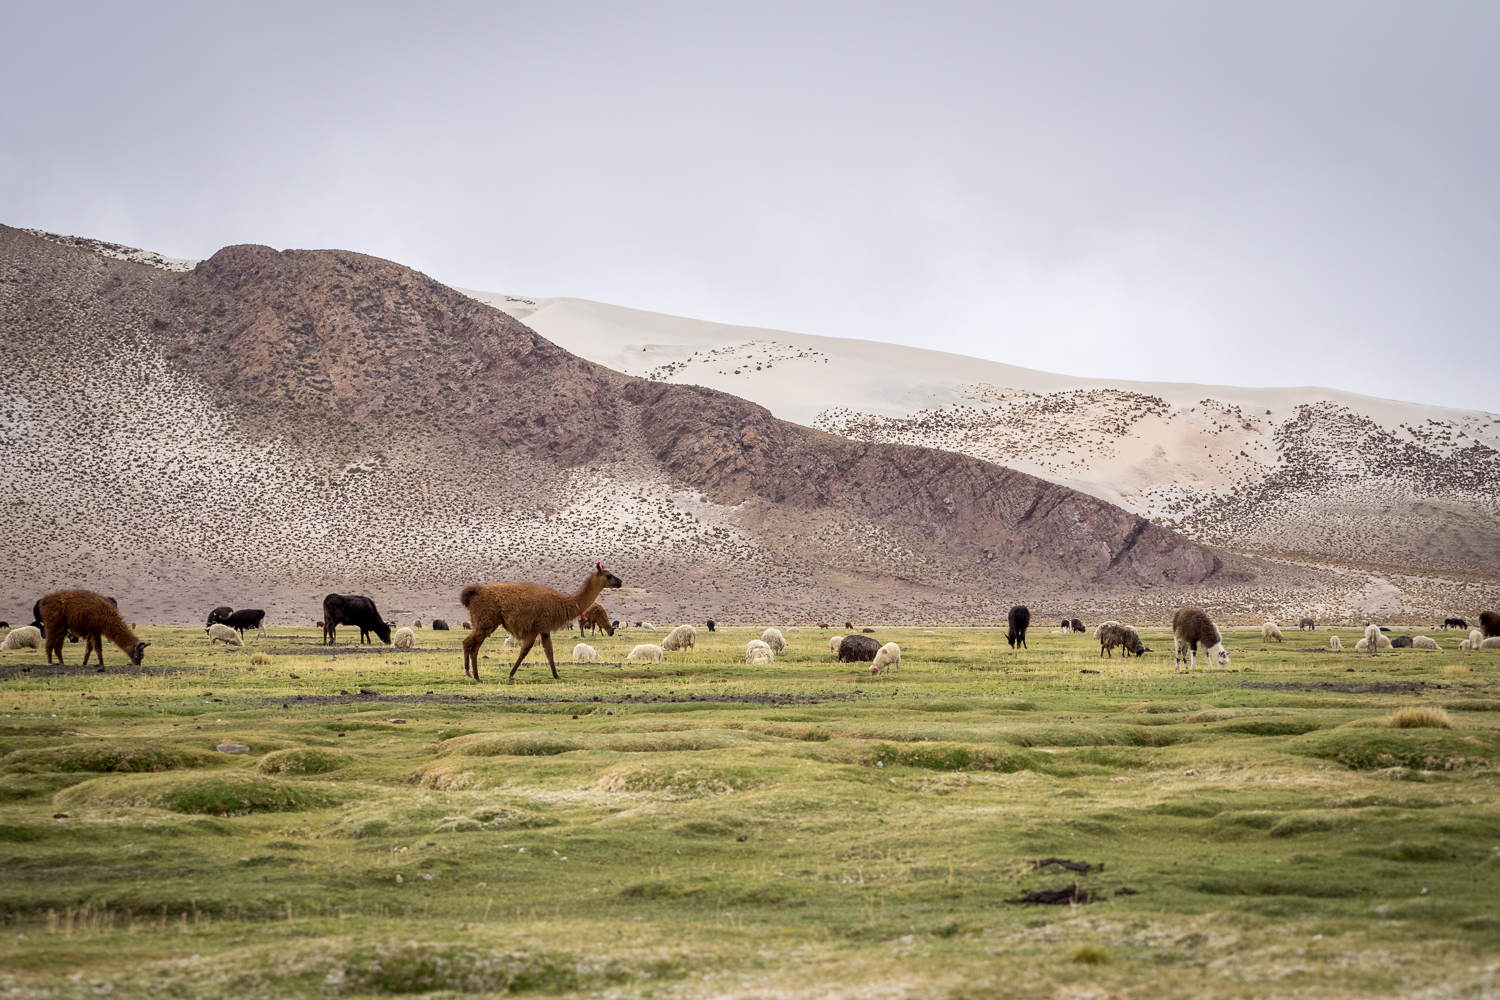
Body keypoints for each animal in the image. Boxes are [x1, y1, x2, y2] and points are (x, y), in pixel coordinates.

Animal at [459, 560, 618, 683]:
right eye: (609, 575)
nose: (620, 582)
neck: (562, 603)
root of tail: (476, 592)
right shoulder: (535, 628)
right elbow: (524, 651)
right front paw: (511, 675)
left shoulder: (544, 629)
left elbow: (549, 652)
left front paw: (556, 676)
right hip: (486, 621)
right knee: (468, 643)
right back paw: (471, 674)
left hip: (483, 623)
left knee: (474, 646)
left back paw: (475, 676)